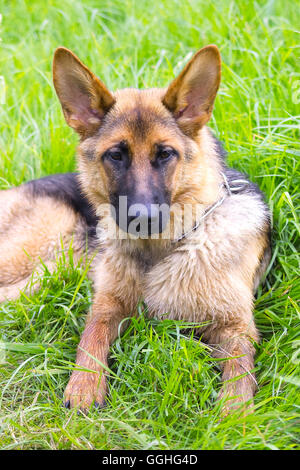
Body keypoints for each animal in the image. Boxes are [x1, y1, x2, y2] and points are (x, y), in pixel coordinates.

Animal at [0, 46, 272, 414]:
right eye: (116, 155)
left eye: (166, 154)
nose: (142, 218)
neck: (161, 251)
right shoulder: (107, 306)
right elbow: (91, 337)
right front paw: (84, 385)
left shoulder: (236, 327)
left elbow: (240, 371)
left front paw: (234, 412)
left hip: (44, 277)